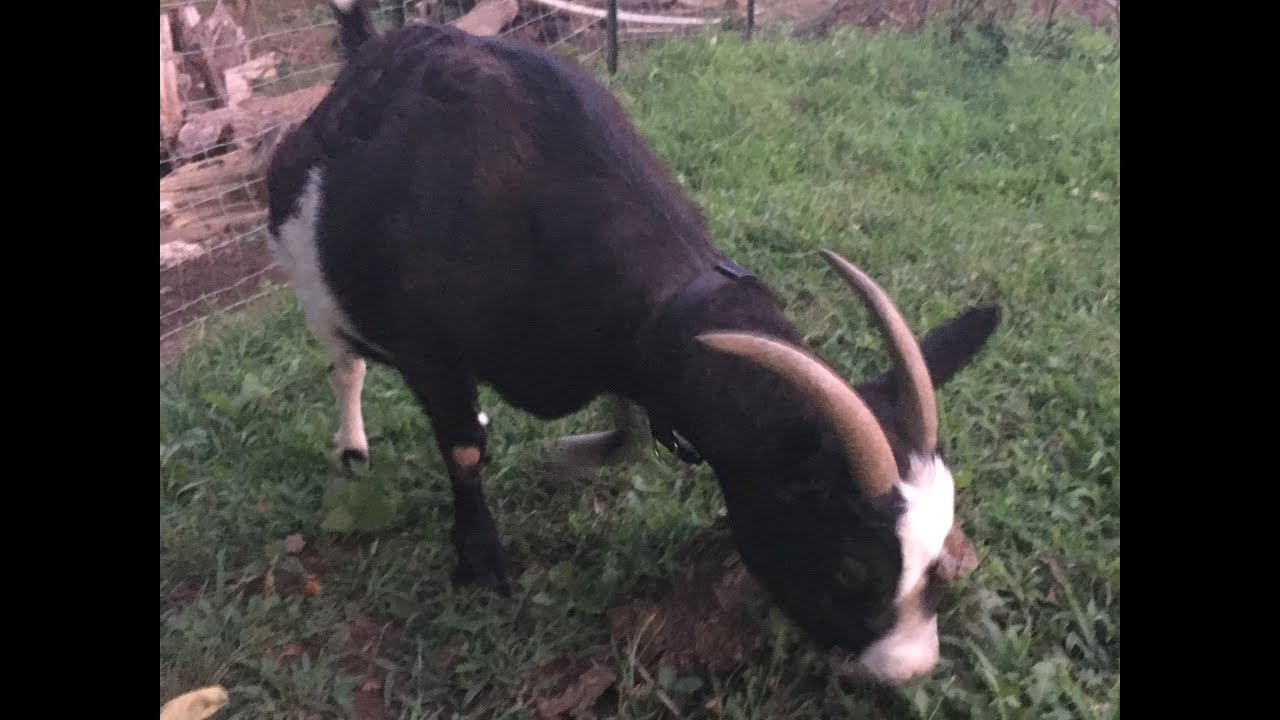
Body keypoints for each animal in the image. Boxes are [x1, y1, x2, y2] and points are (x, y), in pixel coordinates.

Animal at [265, 0, 1002, 685]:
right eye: (851, 566)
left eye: (940, 548)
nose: (910, 667)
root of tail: (363, 53)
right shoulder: (432, 354)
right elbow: (464, 448)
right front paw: (482, 561)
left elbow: (625, 426)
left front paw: (574, 453)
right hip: (309, 274)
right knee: (345, 363)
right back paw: (352, 447)